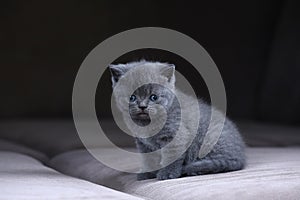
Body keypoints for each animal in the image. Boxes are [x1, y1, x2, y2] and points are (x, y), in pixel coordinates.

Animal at [109, 60, 245, 180]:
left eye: (154, 97)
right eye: (131, 97)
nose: (142, 106)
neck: (146, 125)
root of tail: (241, 155)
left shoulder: (175, 137)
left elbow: (171, 157)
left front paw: (167, 174)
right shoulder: (143, 144)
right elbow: (149, 159)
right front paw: (148, 173)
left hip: (210, 140)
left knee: (223, 162)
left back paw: (195, 169)